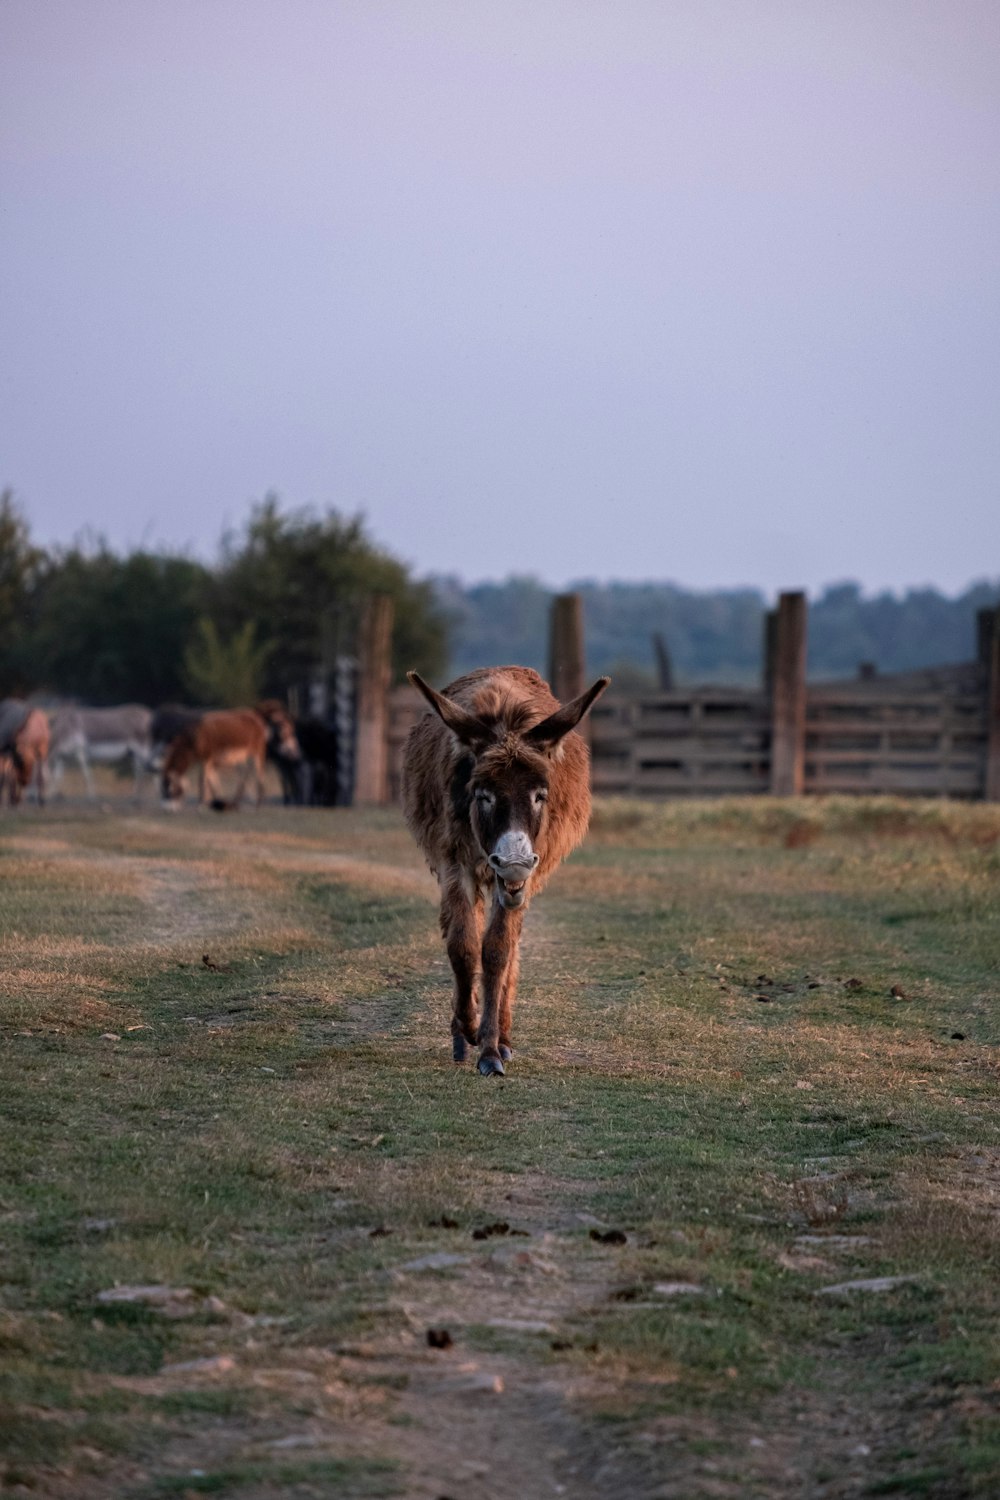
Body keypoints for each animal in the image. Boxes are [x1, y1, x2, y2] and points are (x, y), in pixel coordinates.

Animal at [160, 699, 299, 810]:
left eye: (170, 791)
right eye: (163, 791)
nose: (167, 809)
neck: (193, 738)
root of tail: (254, 714)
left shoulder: (206, 759)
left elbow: (203, 781)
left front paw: (201, 805)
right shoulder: (209, 762)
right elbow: (213, 782)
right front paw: (216, 802)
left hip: (257, 752)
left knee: (257, 774)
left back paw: (257, 803)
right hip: (242, 757)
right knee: (244, 775)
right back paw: (236, 802)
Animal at [401, 663, 605, 1074]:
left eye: (540, 795)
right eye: (484, 795)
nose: (513, 864)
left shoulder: (517, 883)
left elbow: (496, 951)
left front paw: (491, 1048)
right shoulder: (455, 863)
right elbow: (463, 946)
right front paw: (467, 1027)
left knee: (510, 945)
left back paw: (503, 1038)